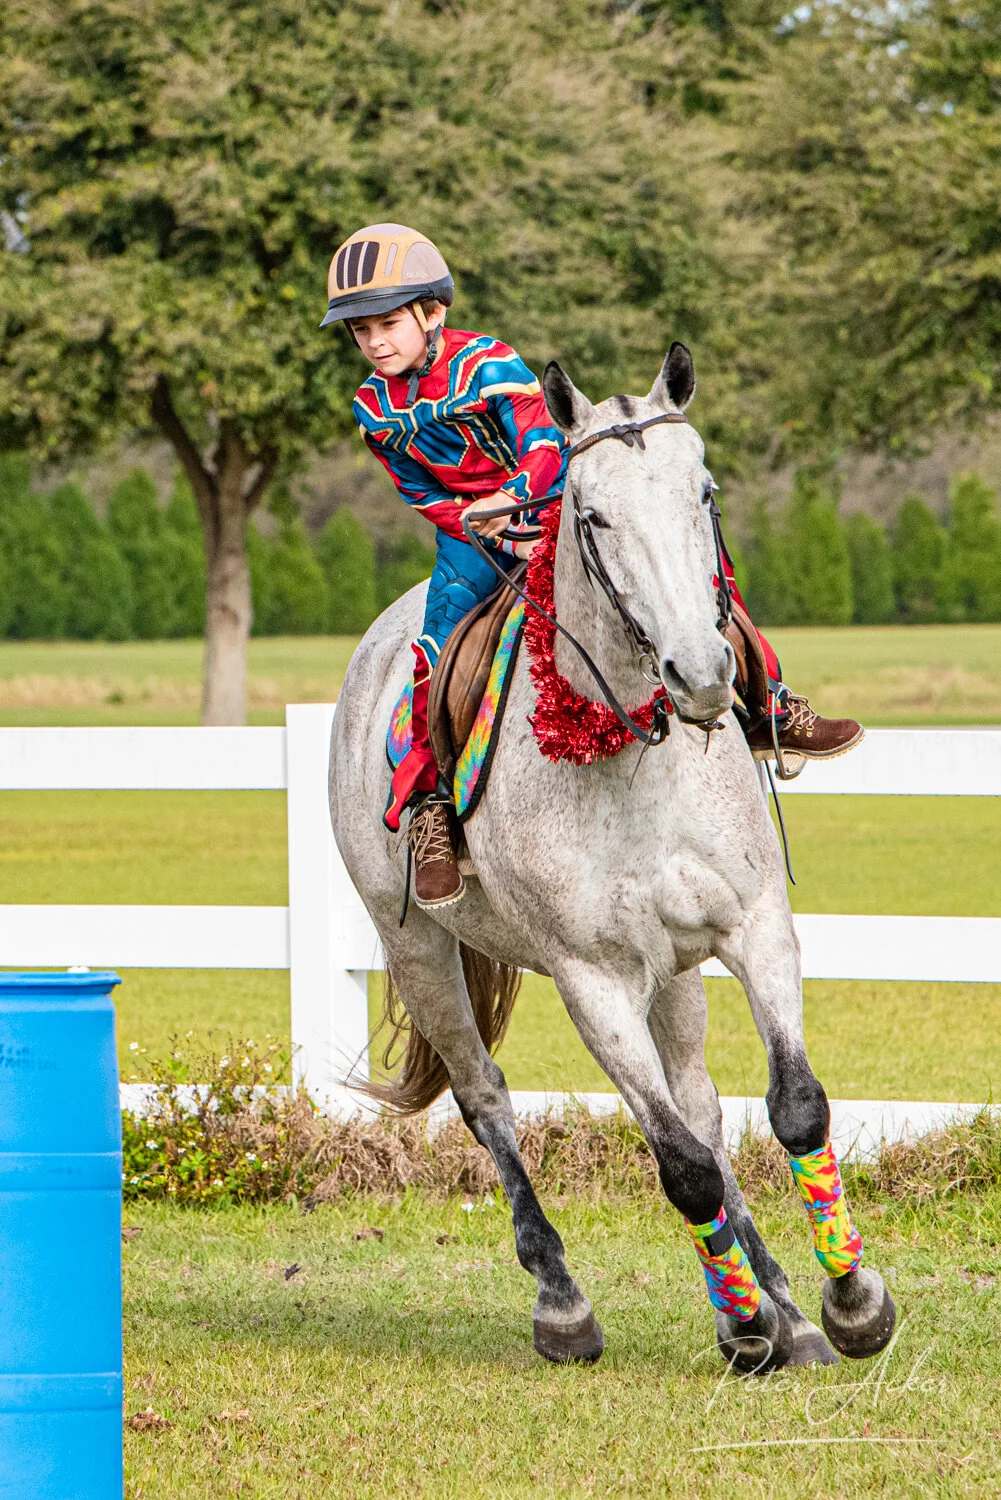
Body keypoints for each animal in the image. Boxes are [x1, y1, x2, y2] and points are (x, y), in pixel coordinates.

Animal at [328, 342, 895, 1374]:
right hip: (424, 955)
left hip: (671, 972)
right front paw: (749, 1321)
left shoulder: (754, 930)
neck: (634, 757)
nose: (701, 675)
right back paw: (568, 1302)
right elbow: (679, 1169)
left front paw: (844, 1303)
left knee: (699, 1108)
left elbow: (789, 1108)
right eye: (590, 515)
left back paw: (782, 1308)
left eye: (703, 492)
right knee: (488, 1098)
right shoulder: (589, 979)